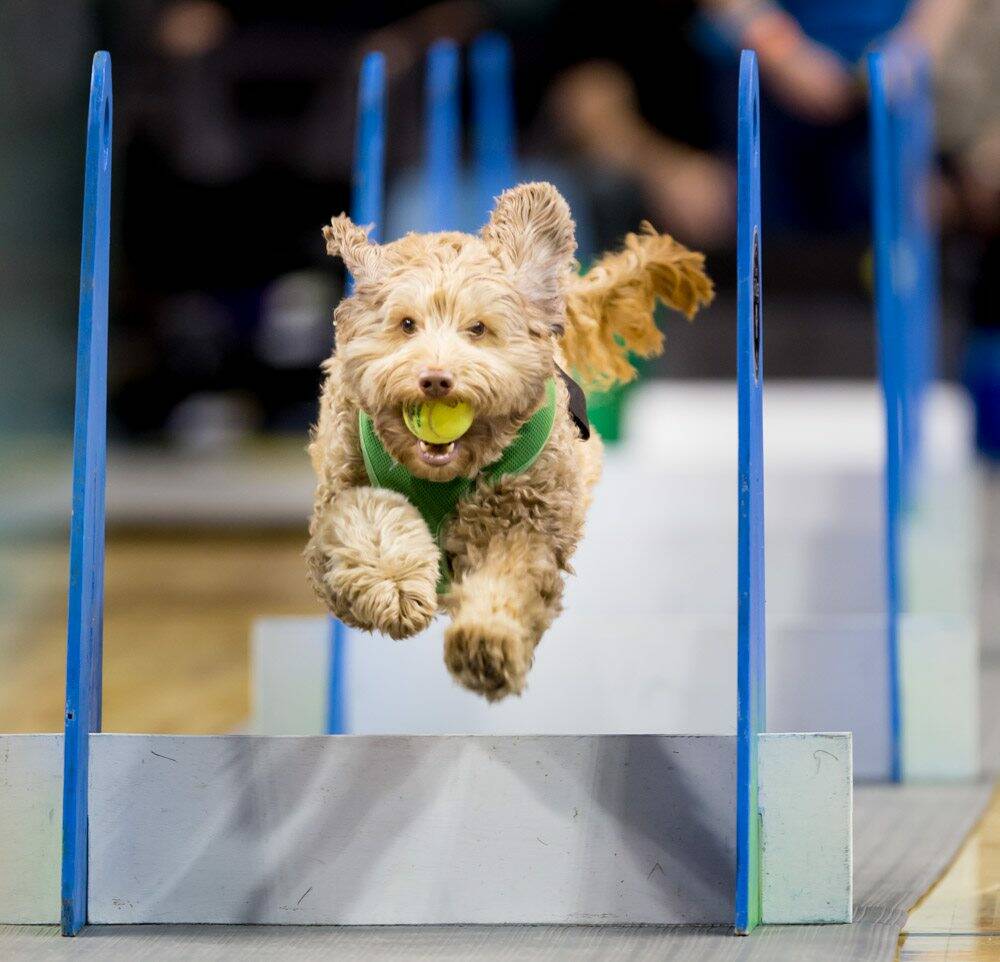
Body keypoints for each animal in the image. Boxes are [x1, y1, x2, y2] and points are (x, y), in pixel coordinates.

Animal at [304, 184, 712, 700]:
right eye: (407, 324)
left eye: (478, 328)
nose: (435, 381)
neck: (447, 474)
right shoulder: (342, 486)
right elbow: (366, 517)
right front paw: (395, 588)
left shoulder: (528, 517)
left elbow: (511, 575)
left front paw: (486, 643)